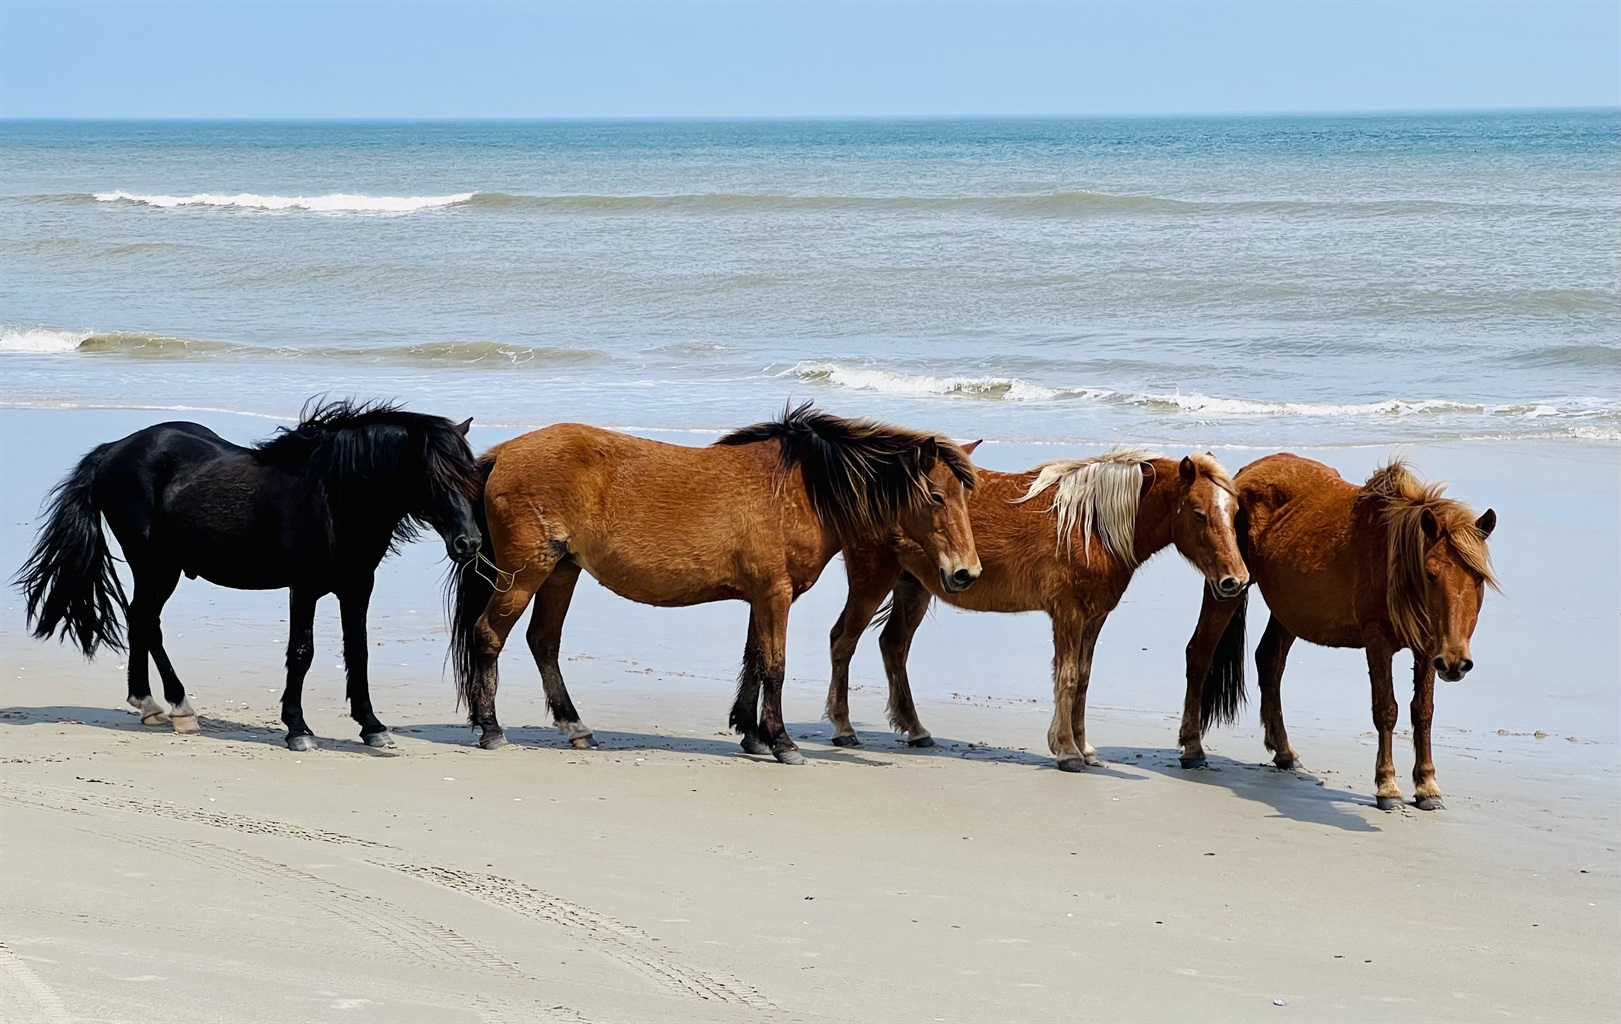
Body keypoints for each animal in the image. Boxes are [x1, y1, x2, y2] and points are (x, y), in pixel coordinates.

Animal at [15, 399, 483, 751]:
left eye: (471, 476)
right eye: (435, 478)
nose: (470, 543)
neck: (333, 496)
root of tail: (114, 449)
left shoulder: (357, 586)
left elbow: (359, 652)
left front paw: (372, 726)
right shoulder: (305, 586)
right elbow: (302, 652)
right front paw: (298, 729)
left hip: (161, 569)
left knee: (141, 620)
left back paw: (149, 704)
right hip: (155, 564)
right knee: (146, 620)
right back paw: (178, 706)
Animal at [447, 402, 981, 764]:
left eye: (963, 495)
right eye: (936, 496)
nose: (965, 572)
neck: (801, 489)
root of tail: (502, 455)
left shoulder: (762, 597)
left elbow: (753, 662)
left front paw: (752, 734)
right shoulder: (775, 595)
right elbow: (774, 667)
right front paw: (782, 742)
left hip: (561, 570)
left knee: (543, 642)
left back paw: (576, 727)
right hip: (527, 572)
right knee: (489, 635)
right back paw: (491, 729)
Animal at [821, 448, 1248, 772]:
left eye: (1234, 512)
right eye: (1198, 513)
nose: (1235, 580)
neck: (1091, 526)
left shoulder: (1094, 617)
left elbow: (1084, 679)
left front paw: (1084, 747)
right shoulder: (1068, 613)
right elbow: (1069, 677)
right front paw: (1067, 750)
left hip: (913, 587)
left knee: (893, 646)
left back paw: (916, 730)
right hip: (872, 580)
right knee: (843, 640)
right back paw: (844, 727)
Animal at [1179, 454, 1497, 810]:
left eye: (1479, 578)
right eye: (1430, 574)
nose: (1456, 662)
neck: (1391, 557)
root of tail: (1245, 473)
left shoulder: (1428, 647)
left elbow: (1422, 711)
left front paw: (1428, 786)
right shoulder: (1378, 642)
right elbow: (1386, 710)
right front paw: (1387, 786)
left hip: (1289, 610)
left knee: (1269, 661)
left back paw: (1284, 752)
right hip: (1227, 587)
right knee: (1200, 654)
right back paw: (1192, 750)